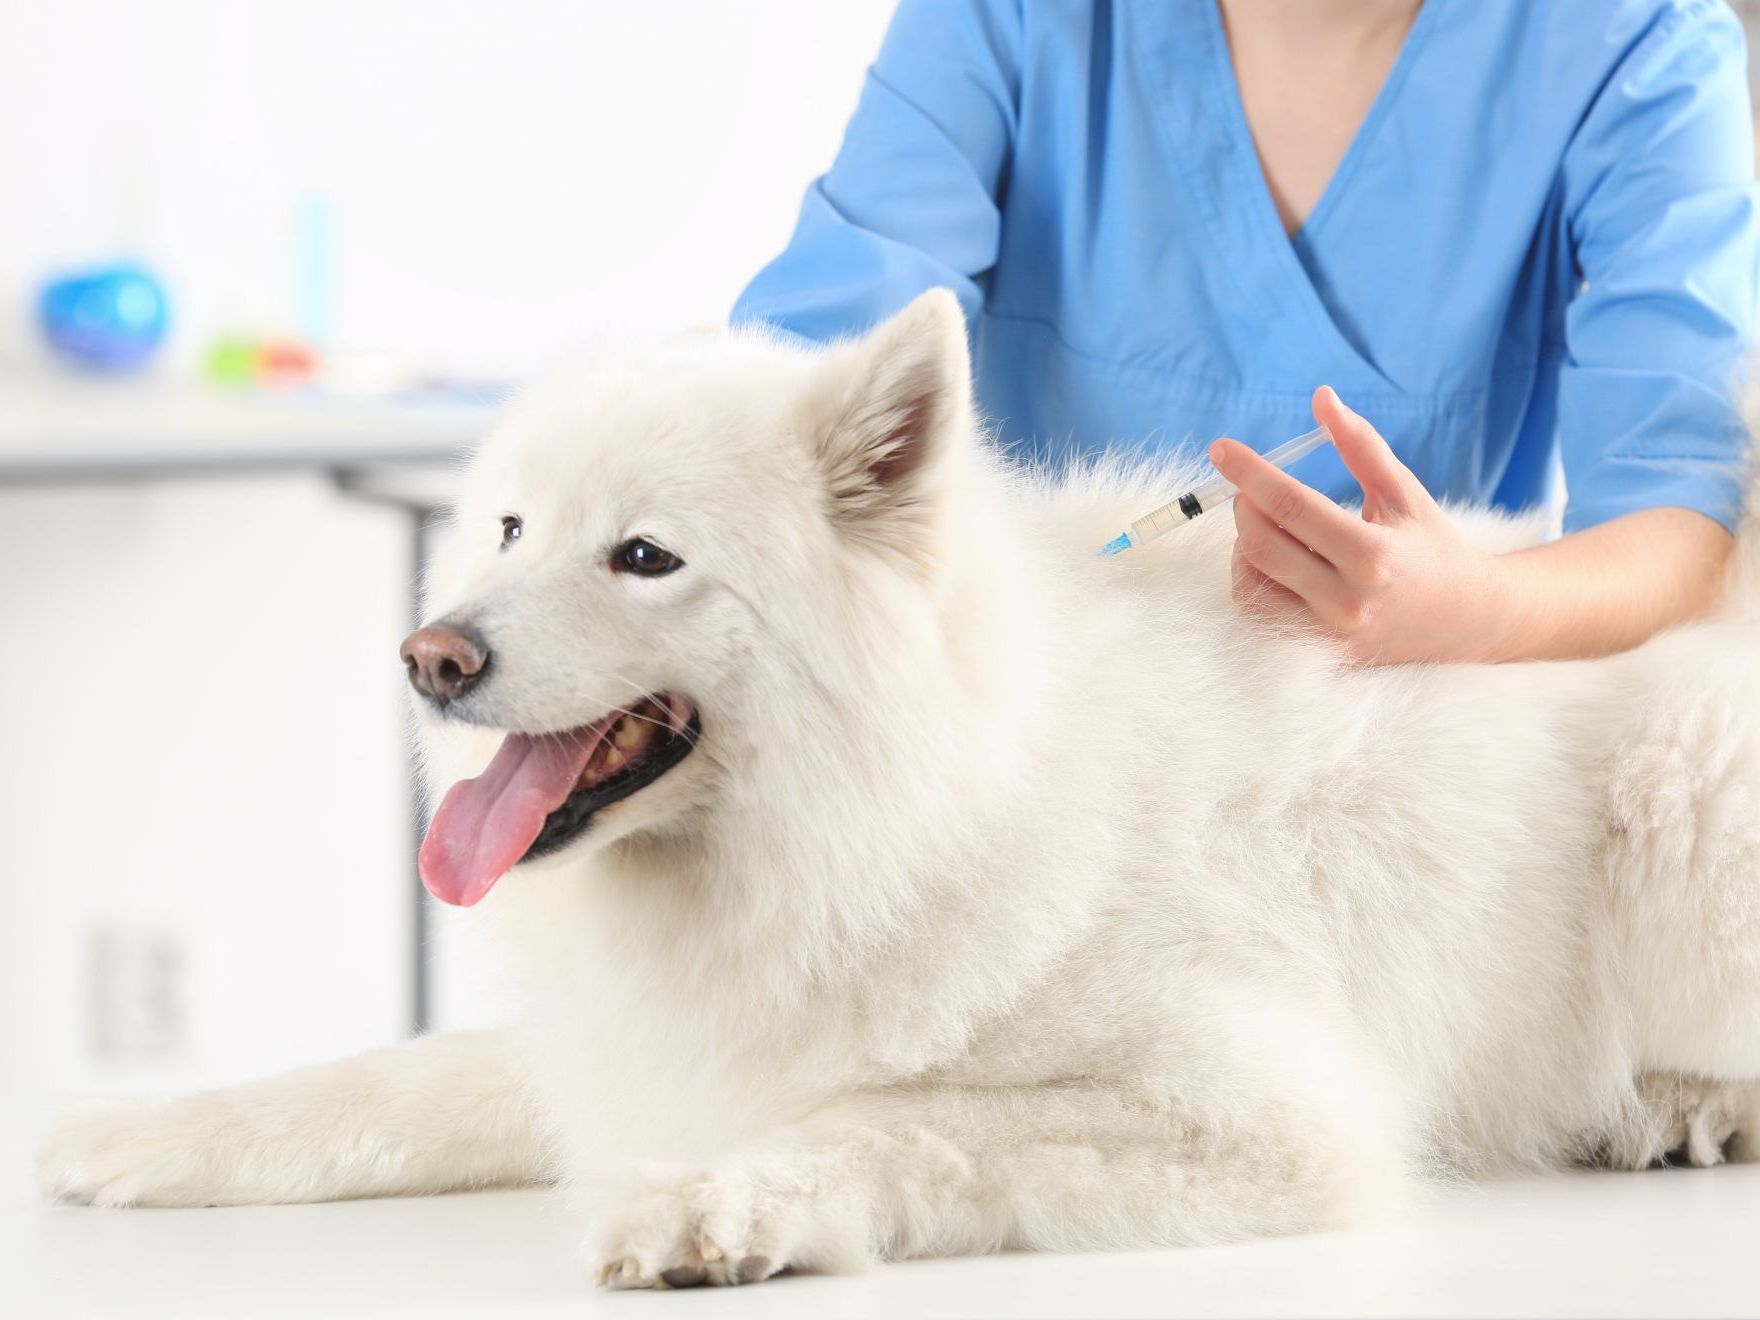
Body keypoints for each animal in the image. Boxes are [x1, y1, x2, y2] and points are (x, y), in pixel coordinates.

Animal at [37, 292, 1760, 1295]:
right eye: (511, 528)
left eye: (645, 557)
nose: (430, 658)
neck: (887, 812)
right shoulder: (641, 1047)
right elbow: (382, 1085)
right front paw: (138, 1132)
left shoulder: (1263, 1113)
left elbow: (898, 1122)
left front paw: (712, 1207)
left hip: (1686, 783)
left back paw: (1681, 1106)